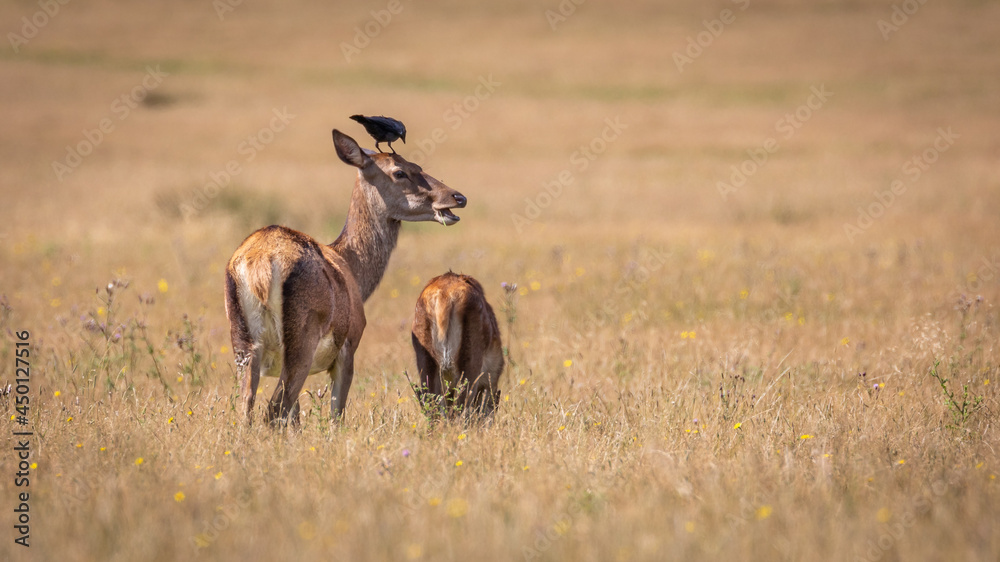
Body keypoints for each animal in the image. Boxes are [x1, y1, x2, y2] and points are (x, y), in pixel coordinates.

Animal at [224, 129, 467, 425]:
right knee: (274, 410)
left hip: (244, 345)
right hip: (300, 344)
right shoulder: (348, 348)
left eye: (418, 165)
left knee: (247, 408)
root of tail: (260, 265)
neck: (354, 272)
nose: (457, 197)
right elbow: (335, 416)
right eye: (400, 171)